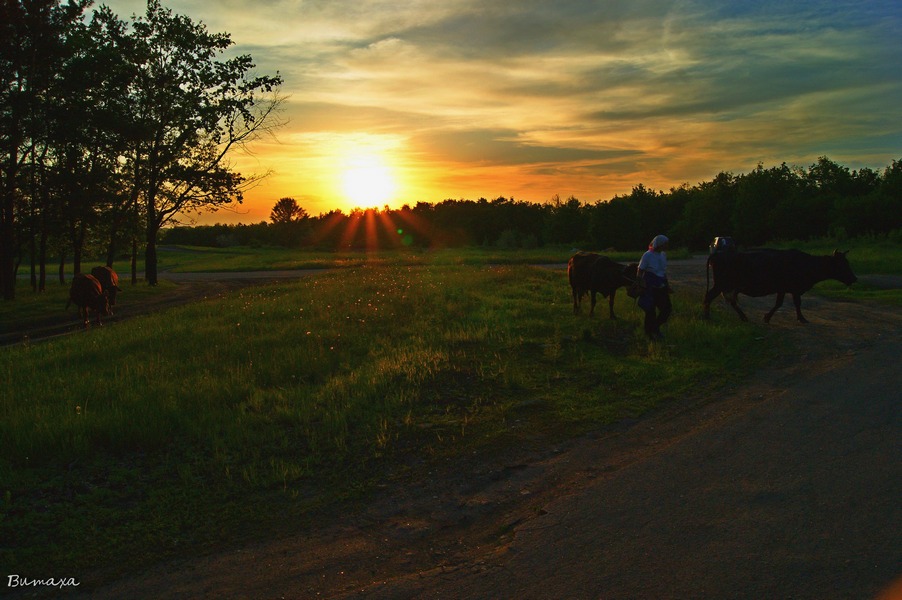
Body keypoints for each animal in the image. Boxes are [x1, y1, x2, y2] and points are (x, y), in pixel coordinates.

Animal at [704, 248, 860, 324]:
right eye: (842, 264)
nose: (854, 278)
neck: (806, 264)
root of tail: (718, 254)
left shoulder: (785, 289)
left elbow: (787, 303)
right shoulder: (790, 288)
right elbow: (787, 303)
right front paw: (801, 318)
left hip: (728, 286)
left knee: (731, 301)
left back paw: (743, 317)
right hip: (721, 284)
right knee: (709, 297)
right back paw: (707, 317)